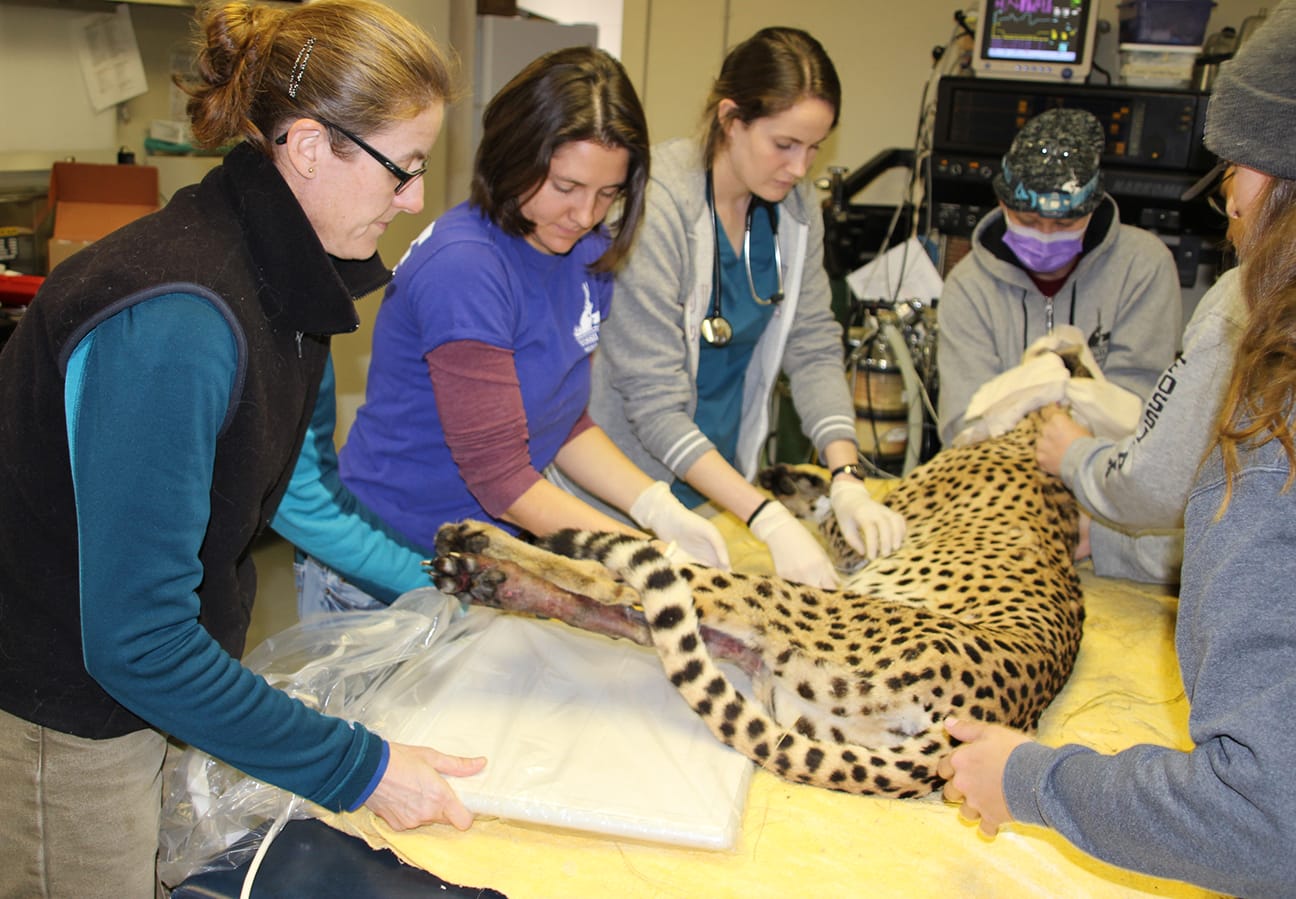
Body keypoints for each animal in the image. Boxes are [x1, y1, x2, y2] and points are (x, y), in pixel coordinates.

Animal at [432, 409, 1083, 797]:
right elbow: (834, 496)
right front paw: (787, 479)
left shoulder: (858, 541)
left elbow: (845, 512)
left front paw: (799, 486)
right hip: (791, 684)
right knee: (662, 624)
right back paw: (488, 581)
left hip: (793, 604)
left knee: (622, 579)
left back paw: (483, 544)